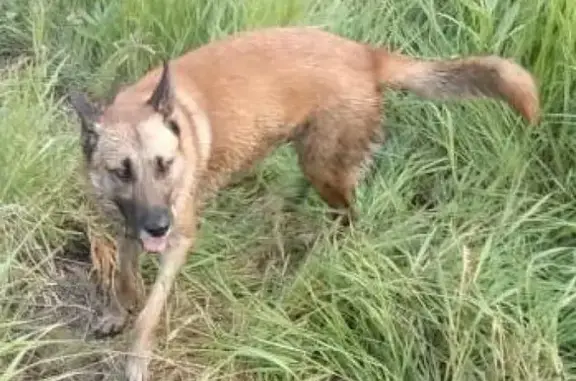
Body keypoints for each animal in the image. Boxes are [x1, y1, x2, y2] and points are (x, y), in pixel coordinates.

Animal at [67, 25, 540, 378]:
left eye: (163, 165)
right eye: (122, 172)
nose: (157, 226)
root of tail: (366, 54)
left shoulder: (180, 237)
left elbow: (150, 312)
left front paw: (136, 357)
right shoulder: (126, 223)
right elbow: (124, 272)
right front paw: (119, 309)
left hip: (325, 166)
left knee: (349, 216)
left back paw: (318, 256)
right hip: (307, 153)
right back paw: (284, 211)